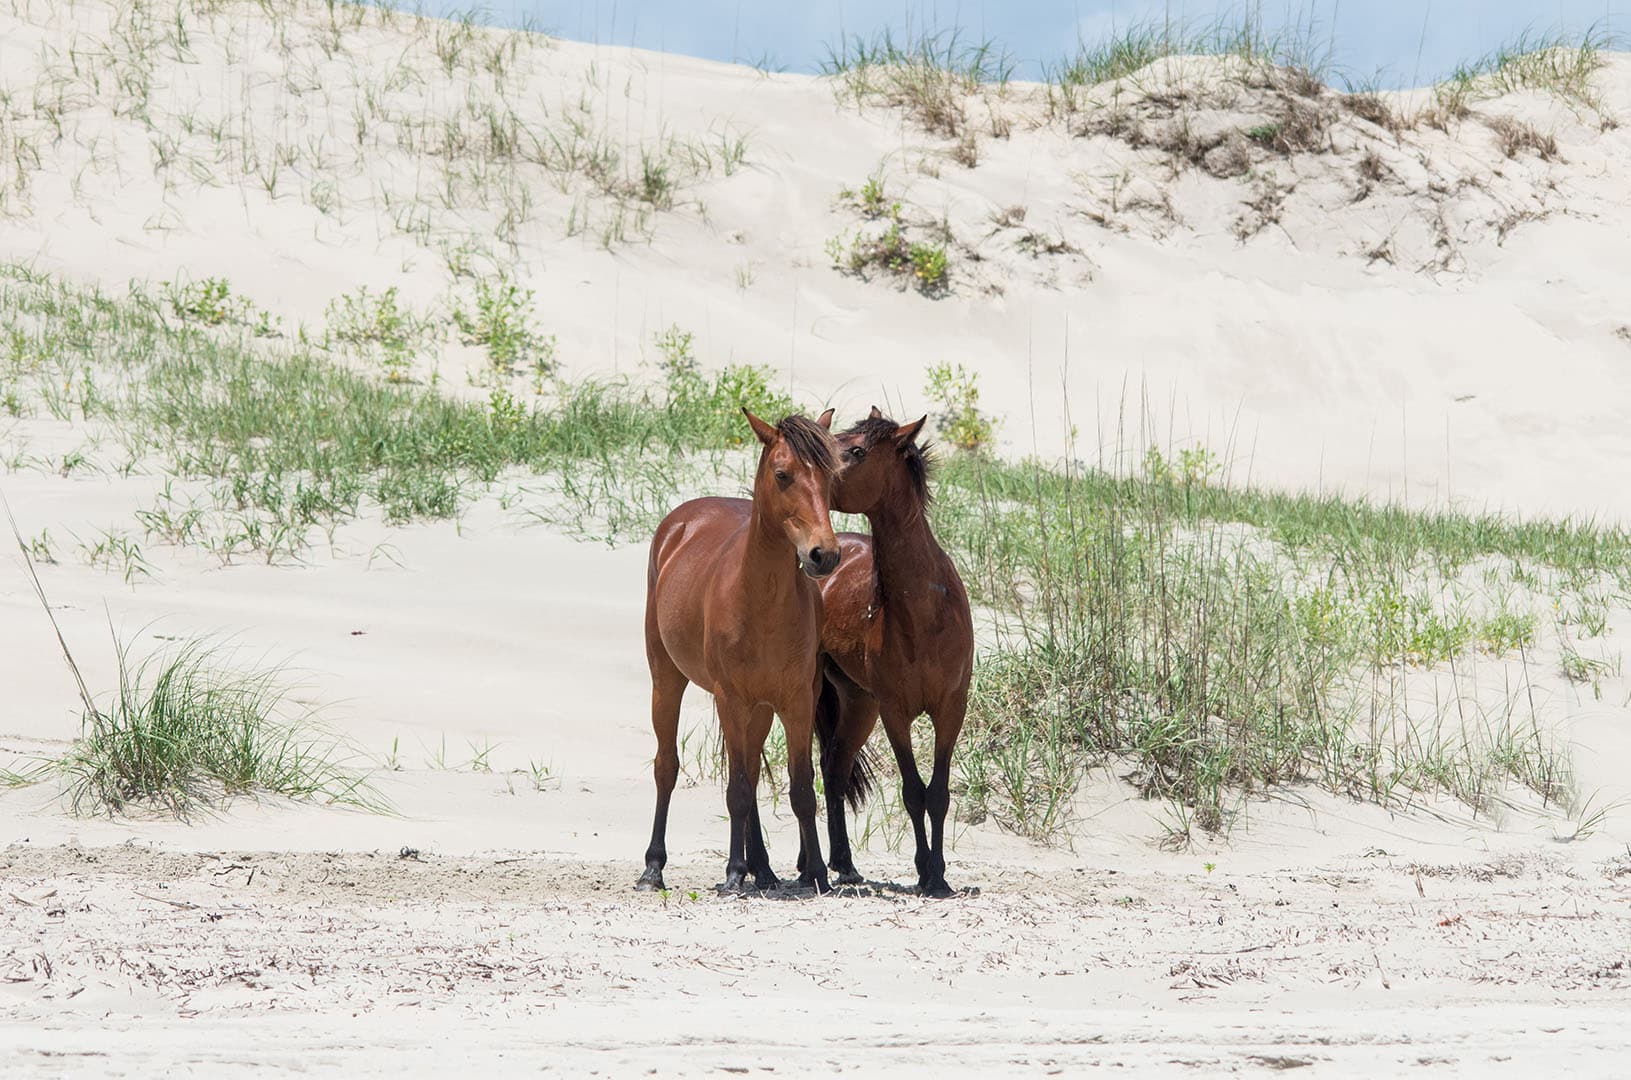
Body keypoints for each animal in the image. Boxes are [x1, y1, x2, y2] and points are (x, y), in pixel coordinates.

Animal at [636, 407, 841, 894]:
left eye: (830, 476)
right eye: (783, 474)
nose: (824, 554)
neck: (760, 601)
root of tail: (679, 523)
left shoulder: (796, 702)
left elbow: (801, 789)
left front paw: (816, 873)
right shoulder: (730, 699)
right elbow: (739, 790)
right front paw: (732, 872)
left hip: (760, 709)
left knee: (749, 766)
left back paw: (762, 869)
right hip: (667, 681)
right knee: (667, 767)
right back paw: (654, 868)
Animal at [812, 406, 972, 894]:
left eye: (856, 451)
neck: (924, 613)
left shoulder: (951, 709)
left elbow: (938, 793)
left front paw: (937, 874)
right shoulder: (895, 712)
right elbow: (913, 791)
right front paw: (926, 870)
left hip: (858, 702)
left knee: (835, 768)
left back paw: (844, 863)